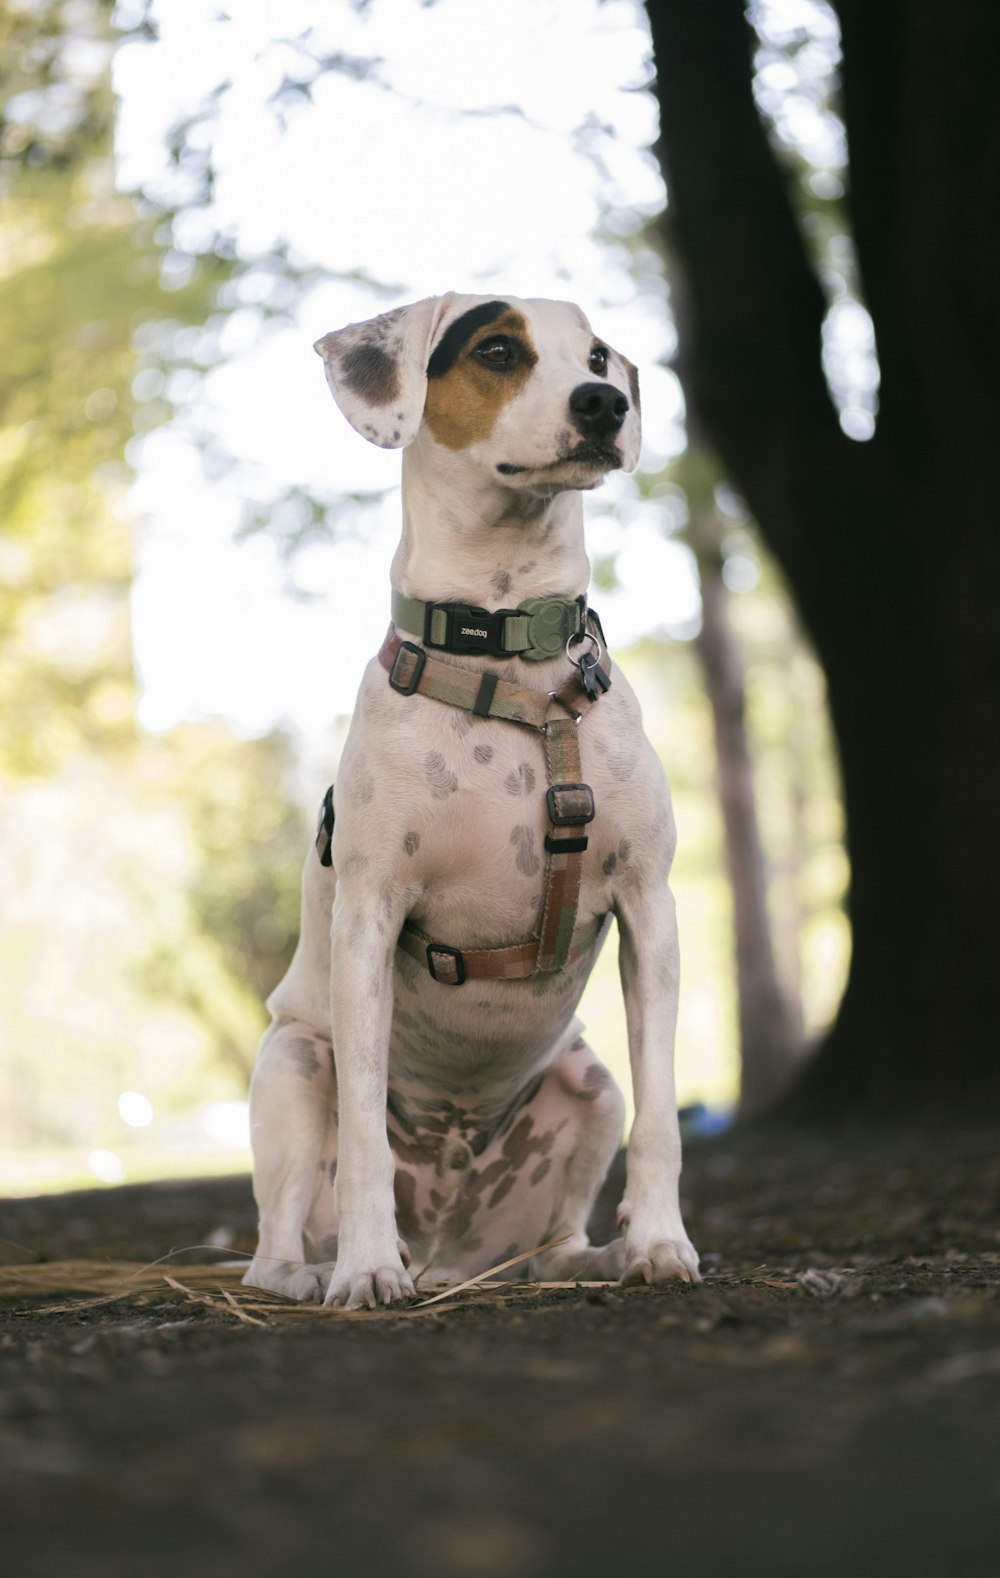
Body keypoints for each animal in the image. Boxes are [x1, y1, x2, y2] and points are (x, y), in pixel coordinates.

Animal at [242, 293, 697, 1306]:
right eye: (496, 351)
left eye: (598, 357)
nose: (606, 402)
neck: (508, 650)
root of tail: (448, 1245)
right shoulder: (369, 919)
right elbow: (364, 1141)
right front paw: (367, 1269)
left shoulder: (651, 910)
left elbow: (663, 1118)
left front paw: (658, 1242)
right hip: (292, 1065)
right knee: (273, 1239)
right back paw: (316, 1271)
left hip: (586, 1087)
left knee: (562, 1223)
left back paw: (590, 1257)